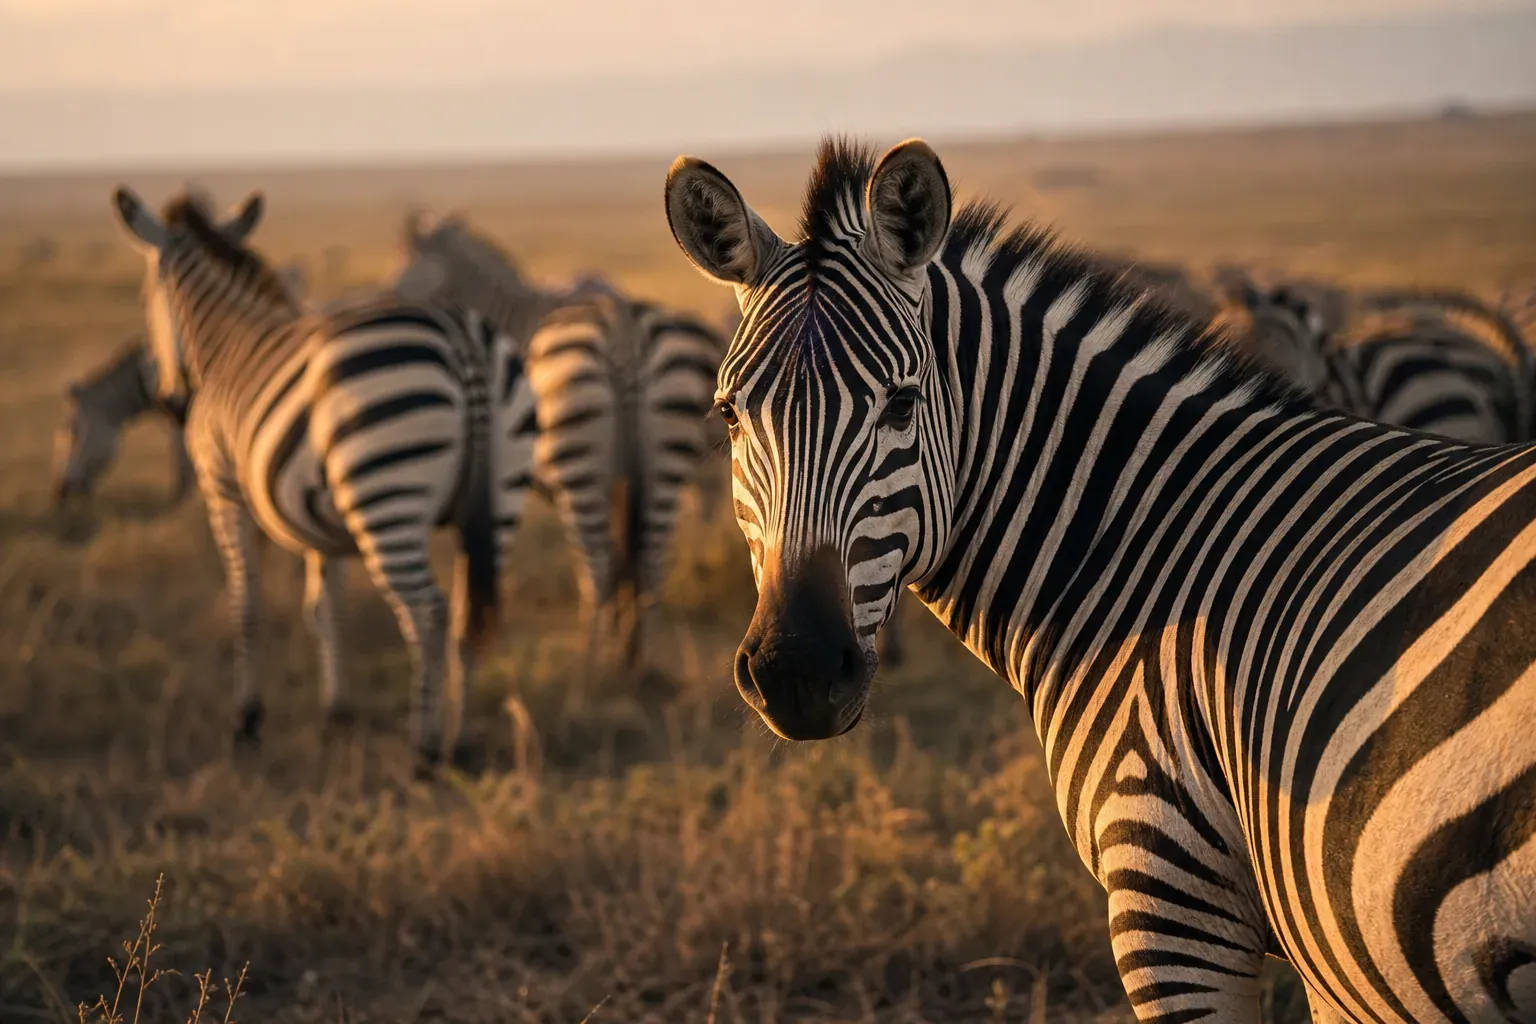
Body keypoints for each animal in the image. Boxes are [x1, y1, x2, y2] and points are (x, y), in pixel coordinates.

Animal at [111, 188, 538, 766]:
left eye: (141, 298)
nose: (172, 401)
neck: (226, 341)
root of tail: (463, 339)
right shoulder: (316, 518)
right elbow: (323, 607)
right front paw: (337, 711)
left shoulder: (223, 491)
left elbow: (246, 602)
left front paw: (248, 719)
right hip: (496, 504)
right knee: (468, 615)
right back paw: (460, 740)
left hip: (386, 497)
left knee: (427, 615)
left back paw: (424, 750)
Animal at [392, 215, 723, 674]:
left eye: (406, 276)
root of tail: (623, 331)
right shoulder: (622, 484)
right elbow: (628, 563)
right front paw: (626, 646)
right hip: (664, 463)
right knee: (651, 560)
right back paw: (644, 660)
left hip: (578, 462)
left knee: (599, 566)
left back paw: (589, 666)